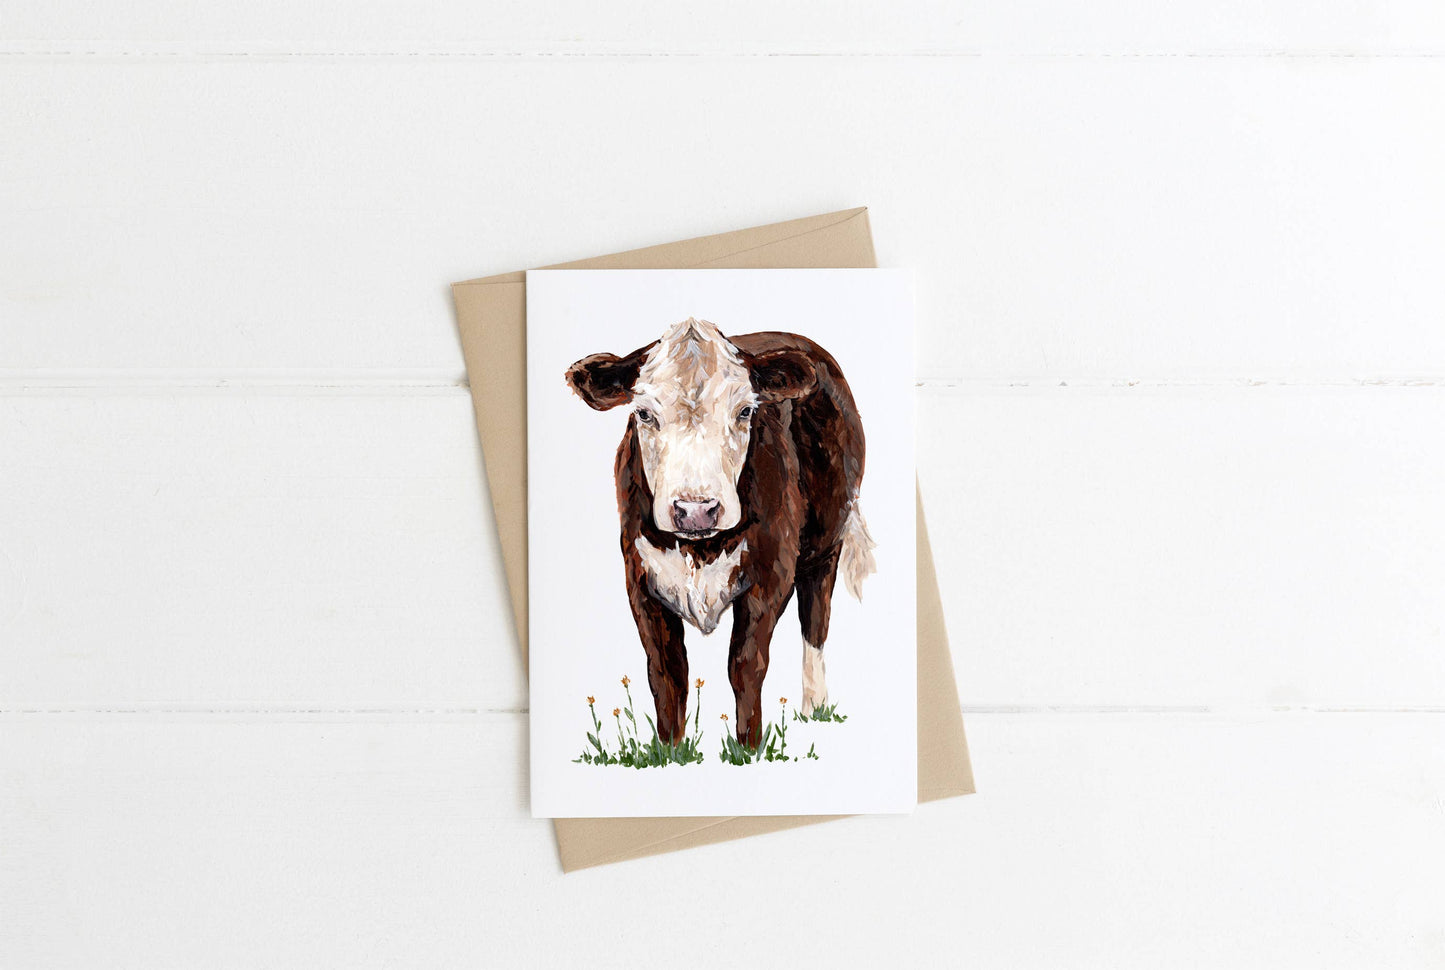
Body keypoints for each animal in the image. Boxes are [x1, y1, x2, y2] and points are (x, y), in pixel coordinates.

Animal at [565, 318, 876, 749]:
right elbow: (667, 672)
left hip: (827, 540)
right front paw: (670, 749)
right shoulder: (639, 578)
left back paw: (815, 707)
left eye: (745, 410)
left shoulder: (771, 573)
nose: (695, 510)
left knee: (815, 619)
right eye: (643, 414)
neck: (700, 549)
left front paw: (749, 748)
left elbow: (745, 664)